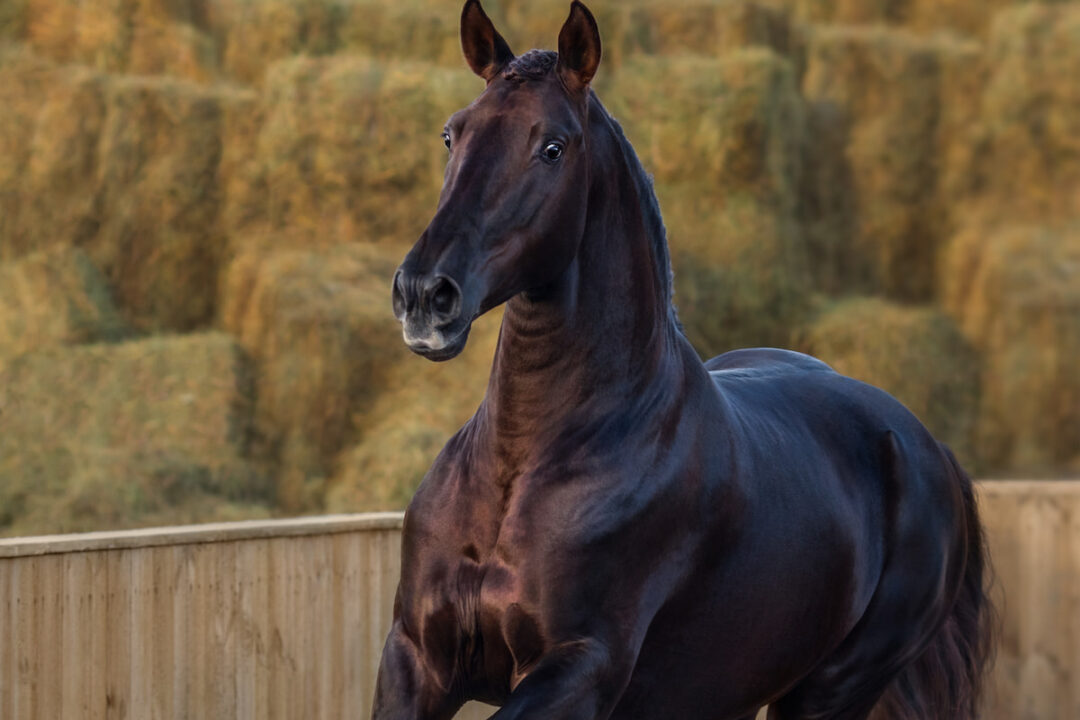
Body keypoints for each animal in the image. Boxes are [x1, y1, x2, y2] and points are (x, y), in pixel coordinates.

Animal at [375, 2, 994, 718]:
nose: (425, 295)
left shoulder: (580, 670)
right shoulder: (415, 656)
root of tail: (927, 447)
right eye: (452, 134)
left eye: (552, 146)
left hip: (828, 690)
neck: (520, 465)